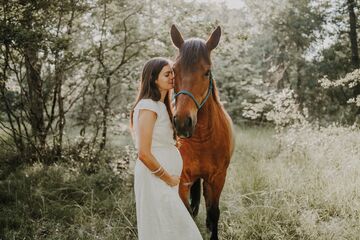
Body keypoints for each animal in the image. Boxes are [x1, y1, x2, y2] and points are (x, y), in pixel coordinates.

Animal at [170, 24, 235, 240]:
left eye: (207, 72)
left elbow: (214, 211)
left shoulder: (218, 178)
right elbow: (187, 213)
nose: (183, 122)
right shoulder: (182, 180)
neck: (203, 140)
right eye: (173, 71)